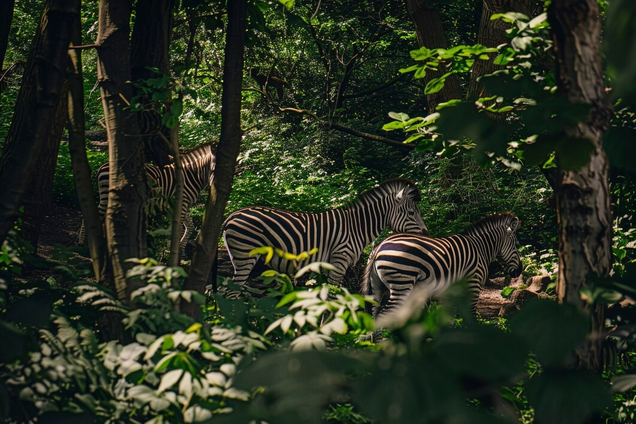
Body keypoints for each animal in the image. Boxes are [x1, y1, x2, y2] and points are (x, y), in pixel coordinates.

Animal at [76, 142, 216, 255]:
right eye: (215, 168)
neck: (191, 175)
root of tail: (101, 166)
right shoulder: (182, 202)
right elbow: (181, 229)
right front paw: (172, 253)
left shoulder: (183, 204)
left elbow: (190, 226)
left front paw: (180, 251)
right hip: (106, 194)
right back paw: (81, 243)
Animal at [221, 177, 430, 286]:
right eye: (412, 213)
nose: (426, 235)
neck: (356, 226)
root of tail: (230, 216)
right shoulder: (339, 260)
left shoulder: (323, 266)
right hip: (244, 256)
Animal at [362, 212, 520, 322]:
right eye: (515, 244)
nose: (519, 271)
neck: (479, 247)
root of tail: (379, 247)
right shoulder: (473, 282)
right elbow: (470, 313)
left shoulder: (454, 288)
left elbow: (454, 315)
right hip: (402, 282)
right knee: (386, 314)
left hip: (378, 286)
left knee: (374, 315)